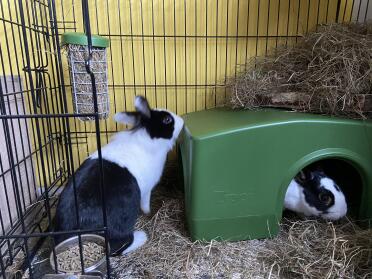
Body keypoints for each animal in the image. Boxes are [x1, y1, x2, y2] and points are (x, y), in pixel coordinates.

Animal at [54, 95, 185, 256]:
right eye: (167, 120)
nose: (182, 121)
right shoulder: (146, 190)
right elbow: (145, 204)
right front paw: (149, 213)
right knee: (117, 247)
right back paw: (141, 237)